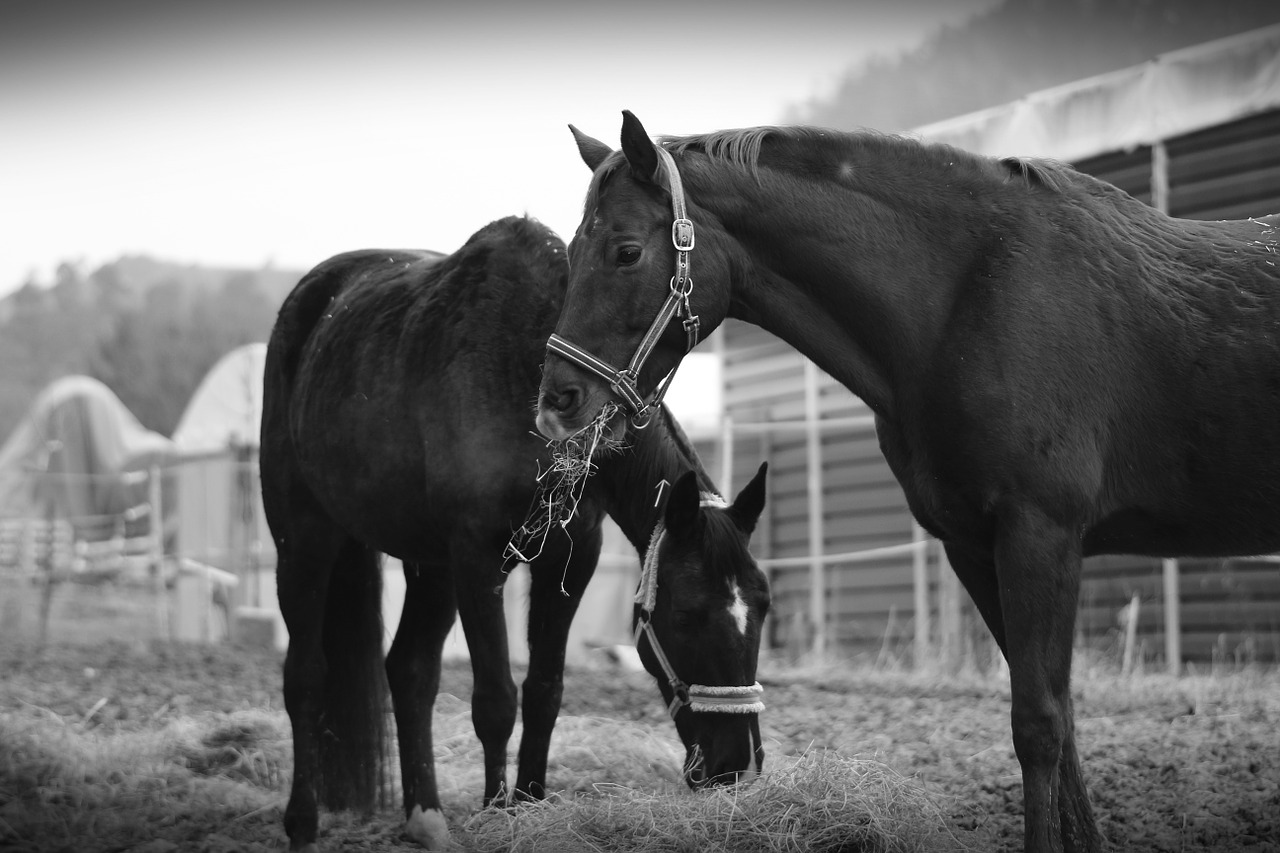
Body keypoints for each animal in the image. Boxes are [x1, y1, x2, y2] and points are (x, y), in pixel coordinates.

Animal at [254, 213, 762, 850]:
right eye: (689, 615)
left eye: (764, 610)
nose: (736, 766)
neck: (526, 372)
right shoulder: (478, 558)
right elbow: (495, 699)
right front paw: (498, 812)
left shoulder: (571, 557)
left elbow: (544, 691)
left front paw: (531, 803)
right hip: (305, 541)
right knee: (305, 677)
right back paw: (303, 822)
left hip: (430, 567)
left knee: (410, 671)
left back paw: (427, 817)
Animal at [532, 112, 1280, 850]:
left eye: (626, 251)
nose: (557, 400)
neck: (972, 295)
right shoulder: (975, 546)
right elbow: (1060, 718)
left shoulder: (1041, 537)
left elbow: (1039, 725)